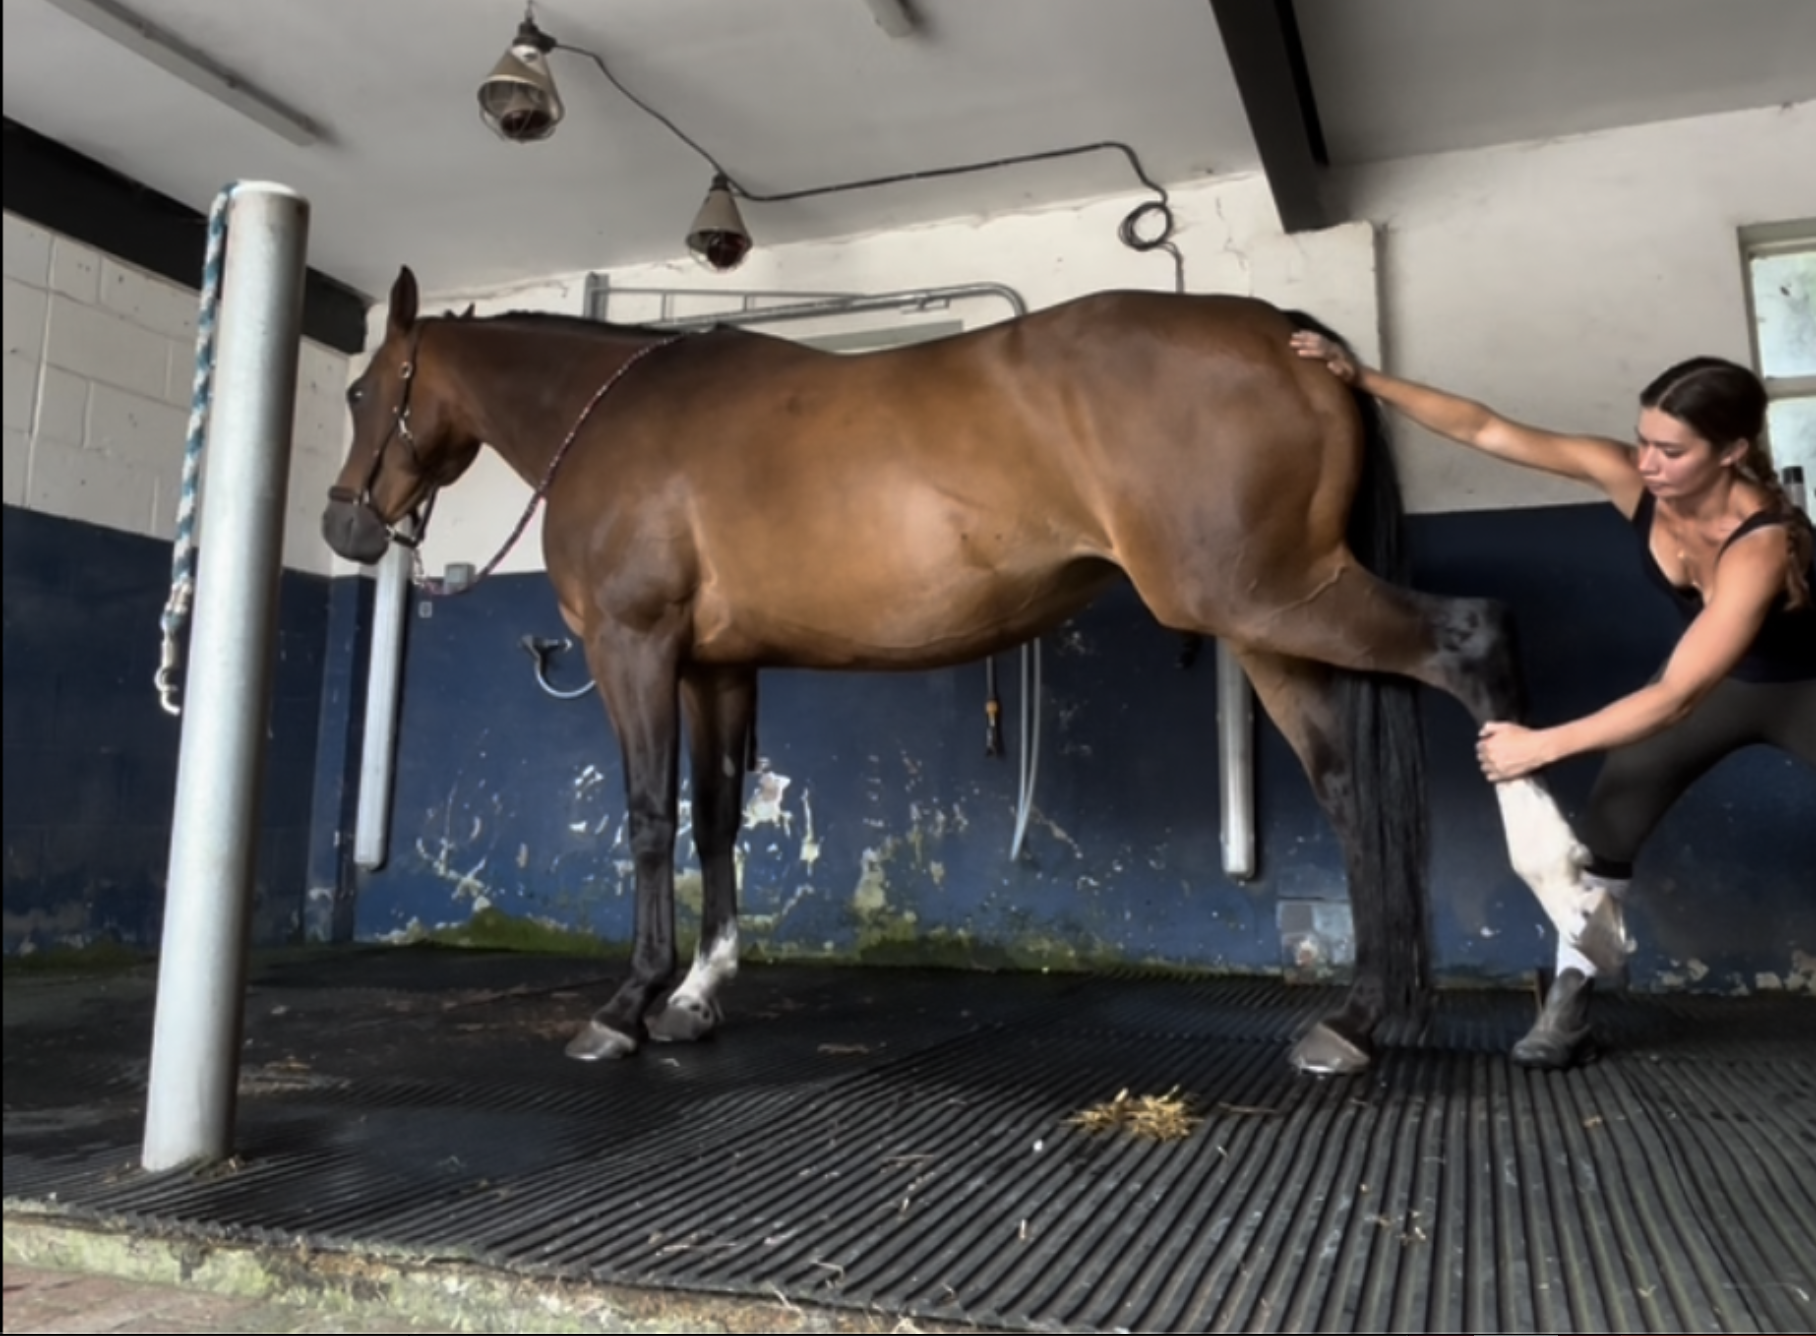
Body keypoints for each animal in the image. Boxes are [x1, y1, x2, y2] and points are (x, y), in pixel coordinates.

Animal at [323, 266, 1625, 1076]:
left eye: (357, 389)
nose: (343, 526)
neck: (612, 418)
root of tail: (1287, 338)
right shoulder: (717, 668)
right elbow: (715, 818)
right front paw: (697, 994)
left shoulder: (633, 647)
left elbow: (647, 818)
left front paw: (625, 1005)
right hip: (1273, 626)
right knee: (1354, 795)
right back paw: (1356, 1018)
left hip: (1270, 599)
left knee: (1472, 642)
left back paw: (1573, 931)